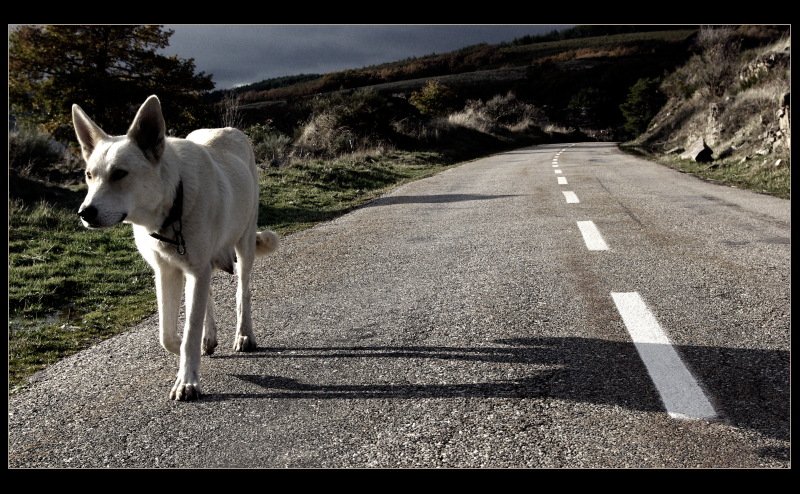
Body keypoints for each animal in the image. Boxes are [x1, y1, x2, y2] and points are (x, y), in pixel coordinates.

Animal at [72, 94, 278, 400]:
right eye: (89, 175)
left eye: (119, 174)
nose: (84, 213)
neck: (172, 206)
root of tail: (227, 129)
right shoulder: (166, 272)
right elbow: (168, 335)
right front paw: (186, 347)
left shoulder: (195, 269)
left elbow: (189, 331)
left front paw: (187, 381)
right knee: (207, 299)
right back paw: (209, 337)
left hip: (244, 246)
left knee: (243, 293)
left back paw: (244, 335)